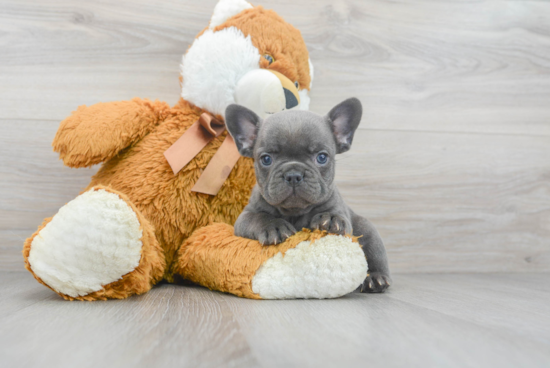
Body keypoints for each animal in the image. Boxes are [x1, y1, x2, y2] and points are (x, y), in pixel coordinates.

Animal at [225, 98, 392, 294]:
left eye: (322, 157)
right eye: (266, 159)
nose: (293, 174)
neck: (294, 211)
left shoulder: (339, 208)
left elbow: (335, 215)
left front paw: (330, 219)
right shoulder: (244, 218)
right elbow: (258, 217)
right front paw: (274, 227)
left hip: (369, 232)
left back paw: (375, 279)